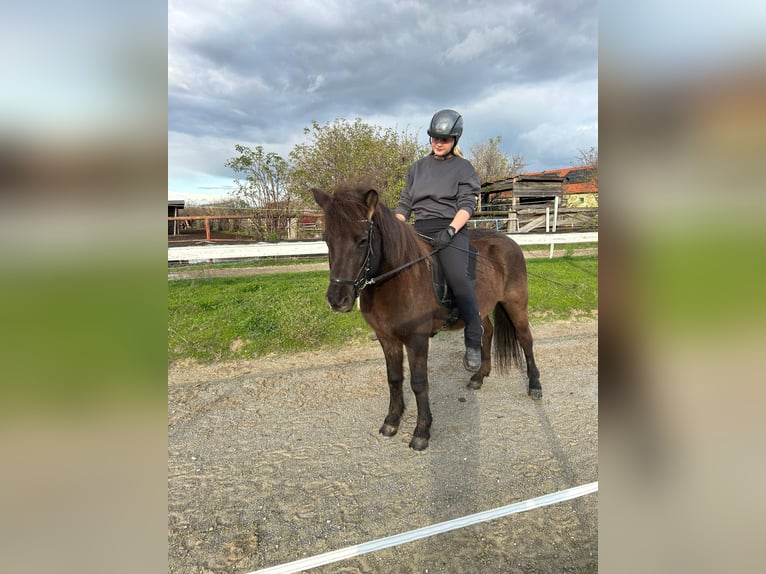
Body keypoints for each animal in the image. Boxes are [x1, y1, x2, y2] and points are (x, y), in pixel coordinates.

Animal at [312, 187, 540, 452]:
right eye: (327, 240)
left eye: (362, 240)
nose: (337, 299)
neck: (398, 279)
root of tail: (508, 241)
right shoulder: (387, 338)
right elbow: (394, 379)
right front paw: (391, 422)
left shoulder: (417, 339)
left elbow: (419, 383)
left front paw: (421, 432)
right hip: (481, 308)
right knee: (486, 333)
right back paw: (478, 377)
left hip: (516, 304)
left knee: (525, 340)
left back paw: (535, 385)